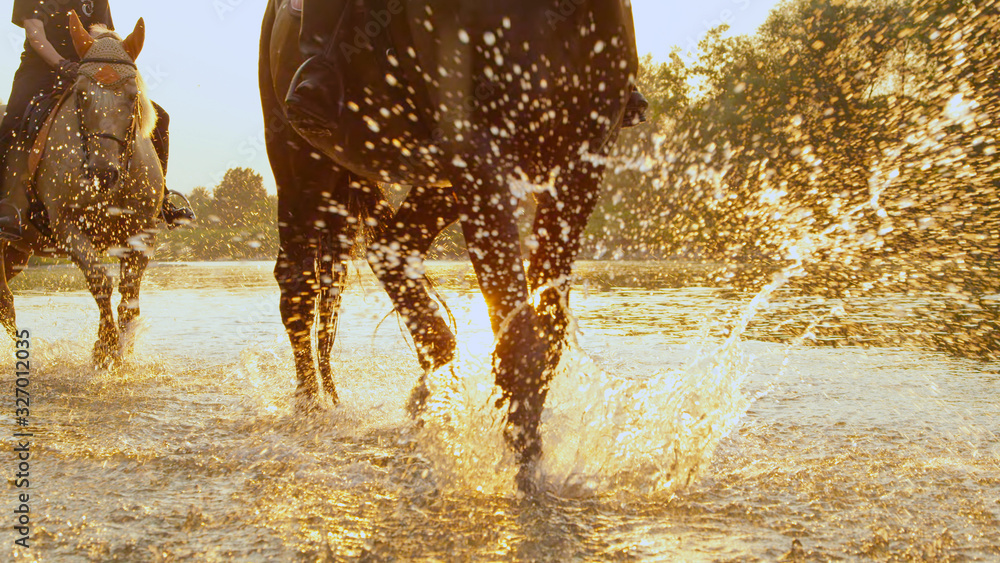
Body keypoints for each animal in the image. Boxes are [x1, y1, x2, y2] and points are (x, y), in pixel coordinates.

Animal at [258, 0, 640, 490]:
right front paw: (524, 463)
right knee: (298, 286)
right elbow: (520, 335)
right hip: (301, 164)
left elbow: (547, 325)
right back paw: (312, 405)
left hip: (436, 181)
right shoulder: (480, 162)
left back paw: (432, 388)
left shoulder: (580, 166)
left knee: (390, 250)